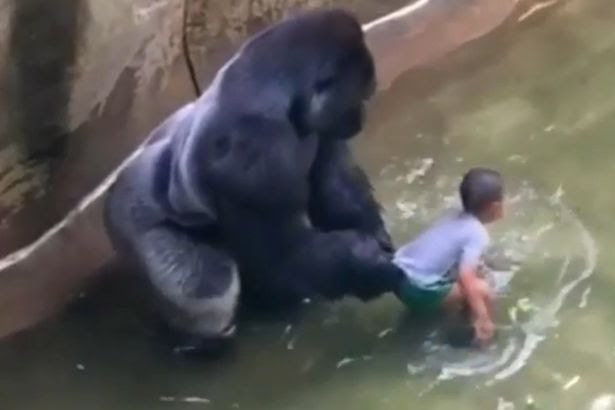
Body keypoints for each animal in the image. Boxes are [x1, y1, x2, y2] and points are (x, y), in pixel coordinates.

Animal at [106, 8, 404, 350]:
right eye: (360, 96)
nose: (361, 119)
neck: (276, 90)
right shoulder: (254, 155)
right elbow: (285, 253)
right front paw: (367, 266)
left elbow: (336, 191)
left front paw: (376, 236)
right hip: (128, 223)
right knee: (208, 286)